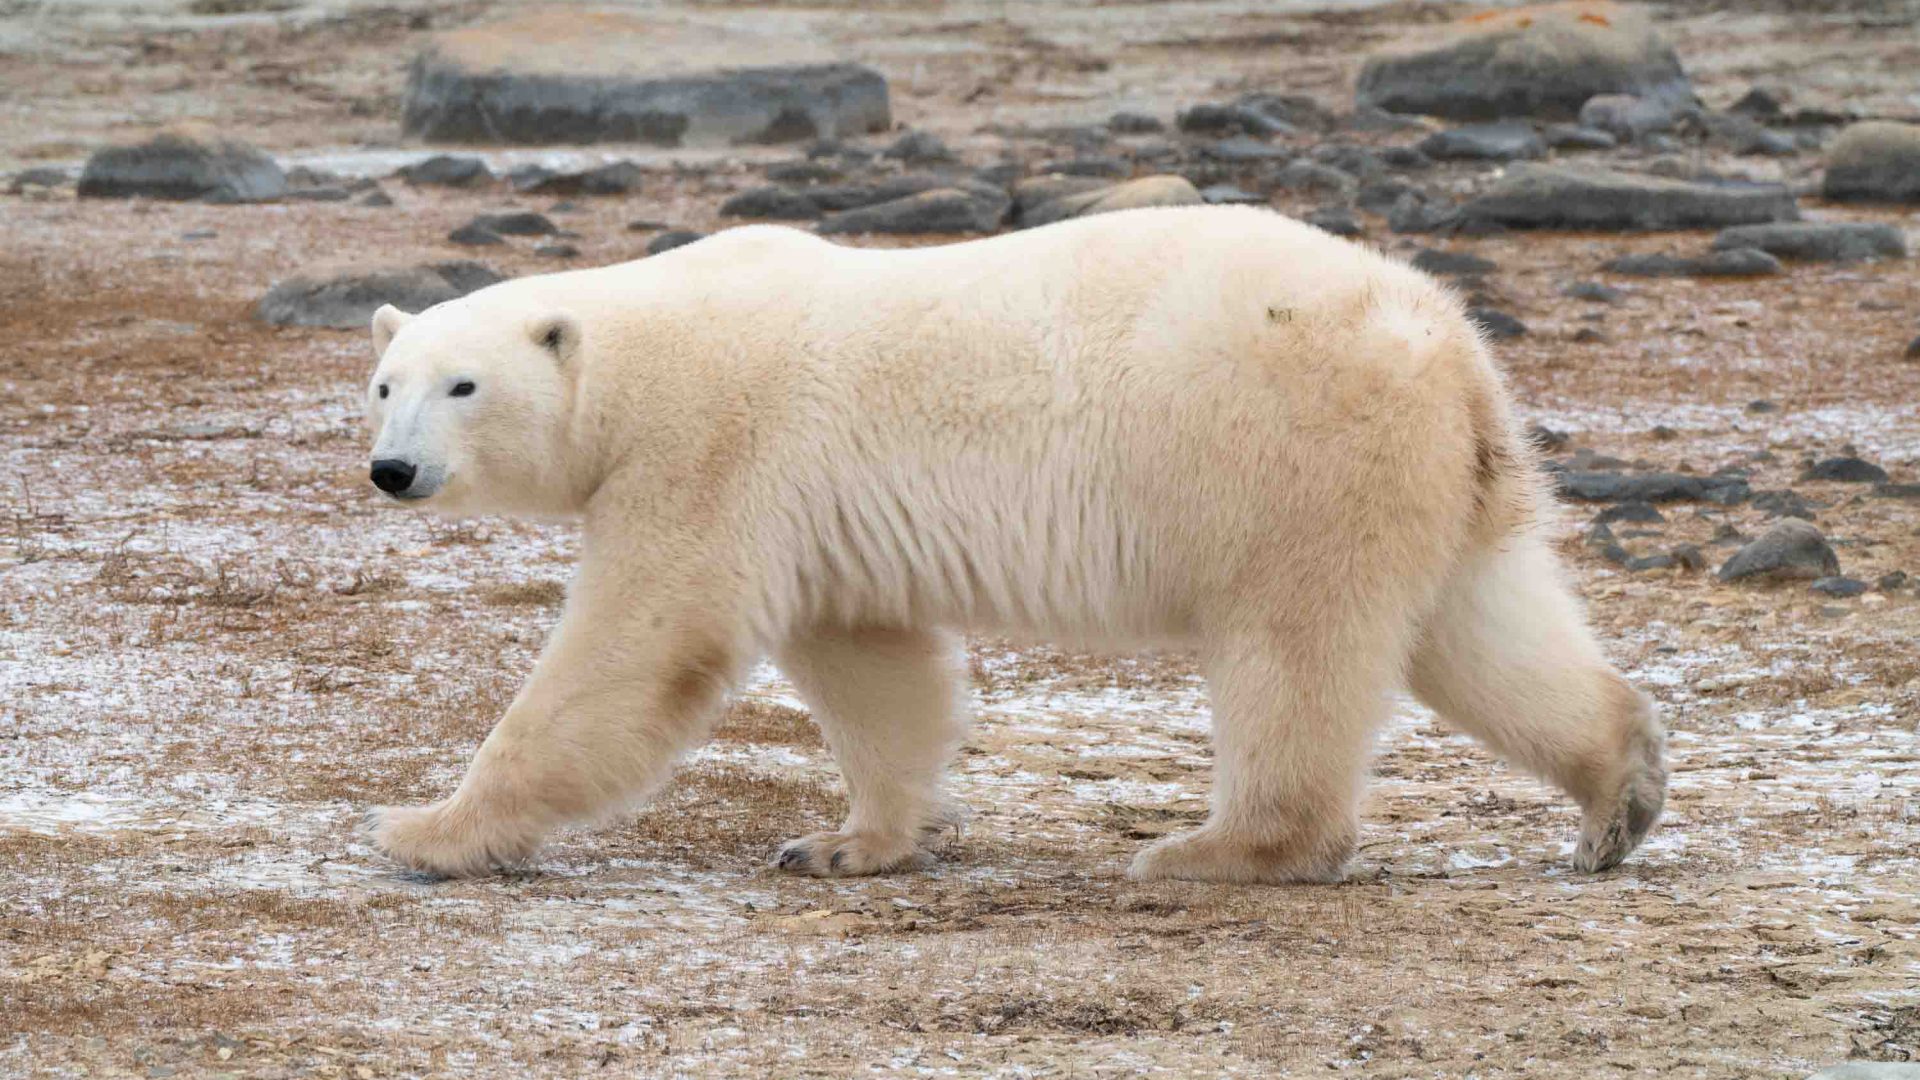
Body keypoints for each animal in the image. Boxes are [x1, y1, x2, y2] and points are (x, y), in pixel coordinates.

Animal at [361, 206, 1666, 884]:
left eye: (463, 384)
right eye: (383, 385)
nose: (392, 470)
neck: (642, 351)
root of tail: (1447, 343)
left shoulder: (710, 454)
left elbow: (635, 644)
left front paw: (425, 831)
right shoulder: (818, 521)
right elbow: (875, 671)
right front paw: (846, 843)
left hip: (1284, 457)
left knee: (1292, 651)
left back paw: (1214, 849)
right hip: (1429, 481)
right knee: (1484, 629)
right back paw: (1622, 791)